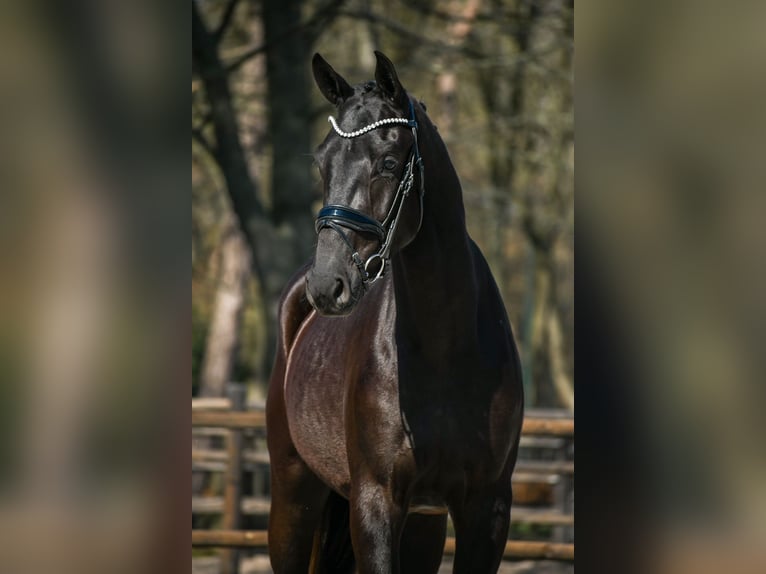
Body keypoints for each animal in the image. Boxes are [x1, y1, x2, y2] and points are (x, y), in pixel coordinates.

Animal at [266, 51, 524, 574]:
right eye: (322, 163)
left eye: (388, 162)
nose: (328, 285)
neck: (446, 347)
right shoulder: (375, 502)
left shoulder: (486, 509)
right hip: (293, 495)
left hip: (423, 525)